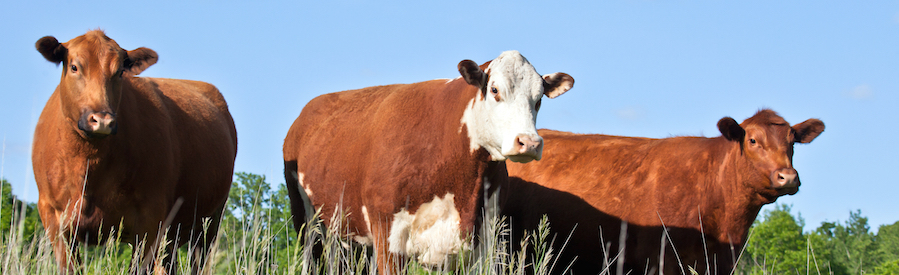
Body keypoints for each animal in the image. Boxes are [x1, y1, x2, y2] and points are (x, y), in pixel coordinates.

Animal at [32, 29, 239, 274]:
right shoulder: (53, 218)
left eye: (120, 71)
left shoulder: (150, 220)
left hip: (208, 224)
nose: (102, 120)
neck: (88, 166)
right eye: (74, 67)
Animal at [284, 51, 576, 274]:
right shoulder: (388, 239)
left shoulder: (481, 241)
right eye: (494, 89)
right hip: (308, 226)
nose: (529, 142)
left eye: (538, 99)